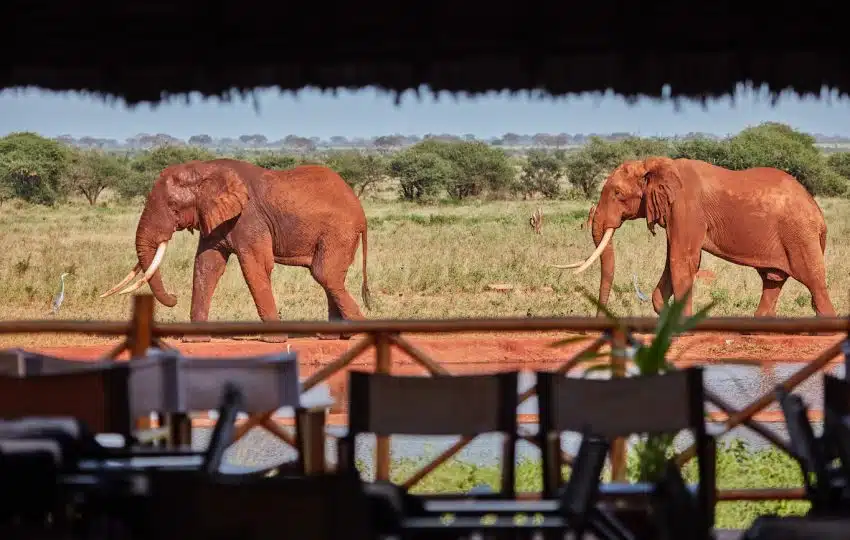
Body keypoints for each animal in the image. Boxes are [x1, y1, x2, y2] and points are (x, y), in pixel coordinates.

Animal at [101, 158, 372, 342]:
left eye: (174, 206)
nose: (174, 297)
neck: (206, 170)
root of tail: (361, 211)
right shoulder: (214, 218)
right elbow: (206, 266)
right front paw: (195, 340)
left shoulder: (249, 219)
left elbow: (255, 266)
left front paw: (273, 340)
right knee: (330, 277)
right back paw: (331, 337)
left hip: (339, 232)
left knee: (325, 274)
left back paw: (358, 333)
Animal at [551, 156, 836, 318]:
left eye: (618, 194)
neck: (654, 163)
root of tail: (818, 213)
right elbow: (674, 263)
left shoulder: (685, 208)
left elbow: (682, 262)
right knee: (772, 284)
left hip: (800, 236)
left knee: (816, 287)